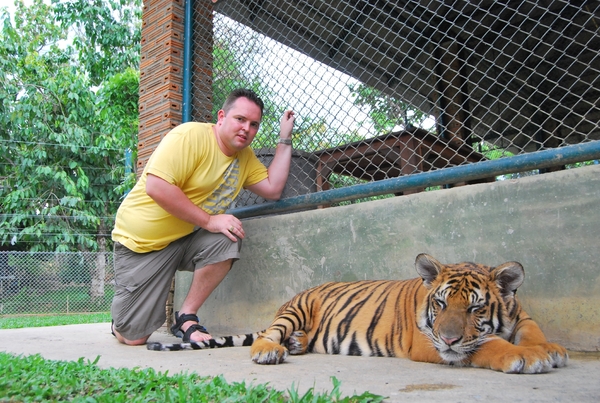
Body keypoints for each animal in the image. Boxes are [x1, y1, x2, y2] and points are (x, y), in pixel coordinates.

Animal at [146, 254, 568, 374]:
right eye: (441, 304)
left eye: (476, 307)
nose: (449, 336)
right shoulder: (430, 343)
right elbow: (486, 345)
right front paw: (526, 357)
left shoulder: (521, 316)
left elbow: (531, 332)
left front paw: (551, 349)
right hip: (295, 310)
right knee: (267, 335)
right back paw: (272, 350)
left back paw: (297, 345)